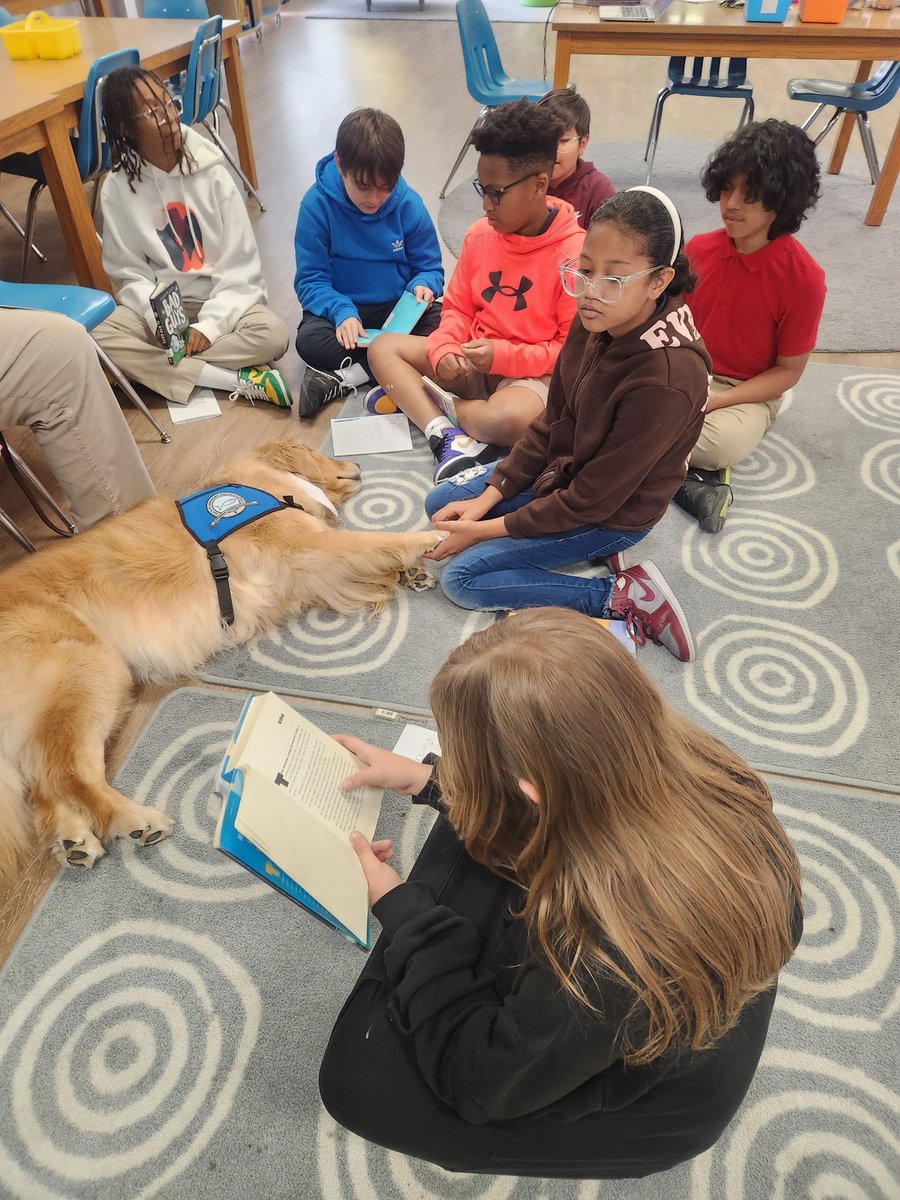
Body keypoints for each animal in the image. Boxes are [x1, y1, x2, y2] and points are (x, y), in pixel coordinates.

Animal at [0, 436, 446, 878]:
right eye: (317, 451)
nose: (357, 465)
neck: (265, 485)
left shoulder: (307, 579)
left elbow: (366, 563)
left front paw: (410, 572)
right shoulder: (309, 547)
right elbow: (371, 541)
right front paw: (428, 537)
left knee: (44, 785)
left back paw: (73, 842)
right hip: (91, 670)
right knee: (68, 775)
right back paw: (136, 821)